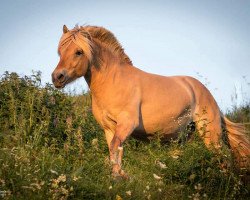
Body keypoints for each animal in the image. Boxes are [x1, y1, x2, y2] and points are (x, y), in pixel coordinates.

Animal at [51, 24, 249, 178]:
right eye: (60, 51)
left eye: (79, 52)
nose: (57, 77)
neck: (114, 81)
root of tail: (205, 93)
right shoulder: (109, 128)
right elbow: (114, 150)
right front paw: (117, 176)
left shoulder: (127, 124)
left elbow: (116, 148)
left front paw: (121, 176)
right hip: (184, 136)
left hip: (210, 135)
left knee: (223, 160)